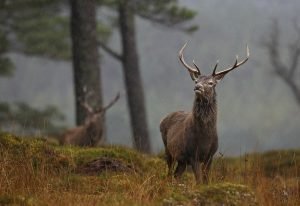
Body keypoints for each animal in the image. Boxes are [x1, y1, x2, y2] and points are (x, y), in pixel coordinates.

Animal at [161, 43, 250, 183]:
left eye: (211, 83)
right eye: (196, 81)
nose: (197, 87)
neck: (205, 139)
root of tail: (162, 120)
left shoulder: (210, 156)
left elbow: (206, 180)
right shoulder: (193, 155)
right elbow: (199, 181)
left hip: (182, 161)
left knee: (176, 175)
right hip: (168, 150)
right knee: (169, 173)